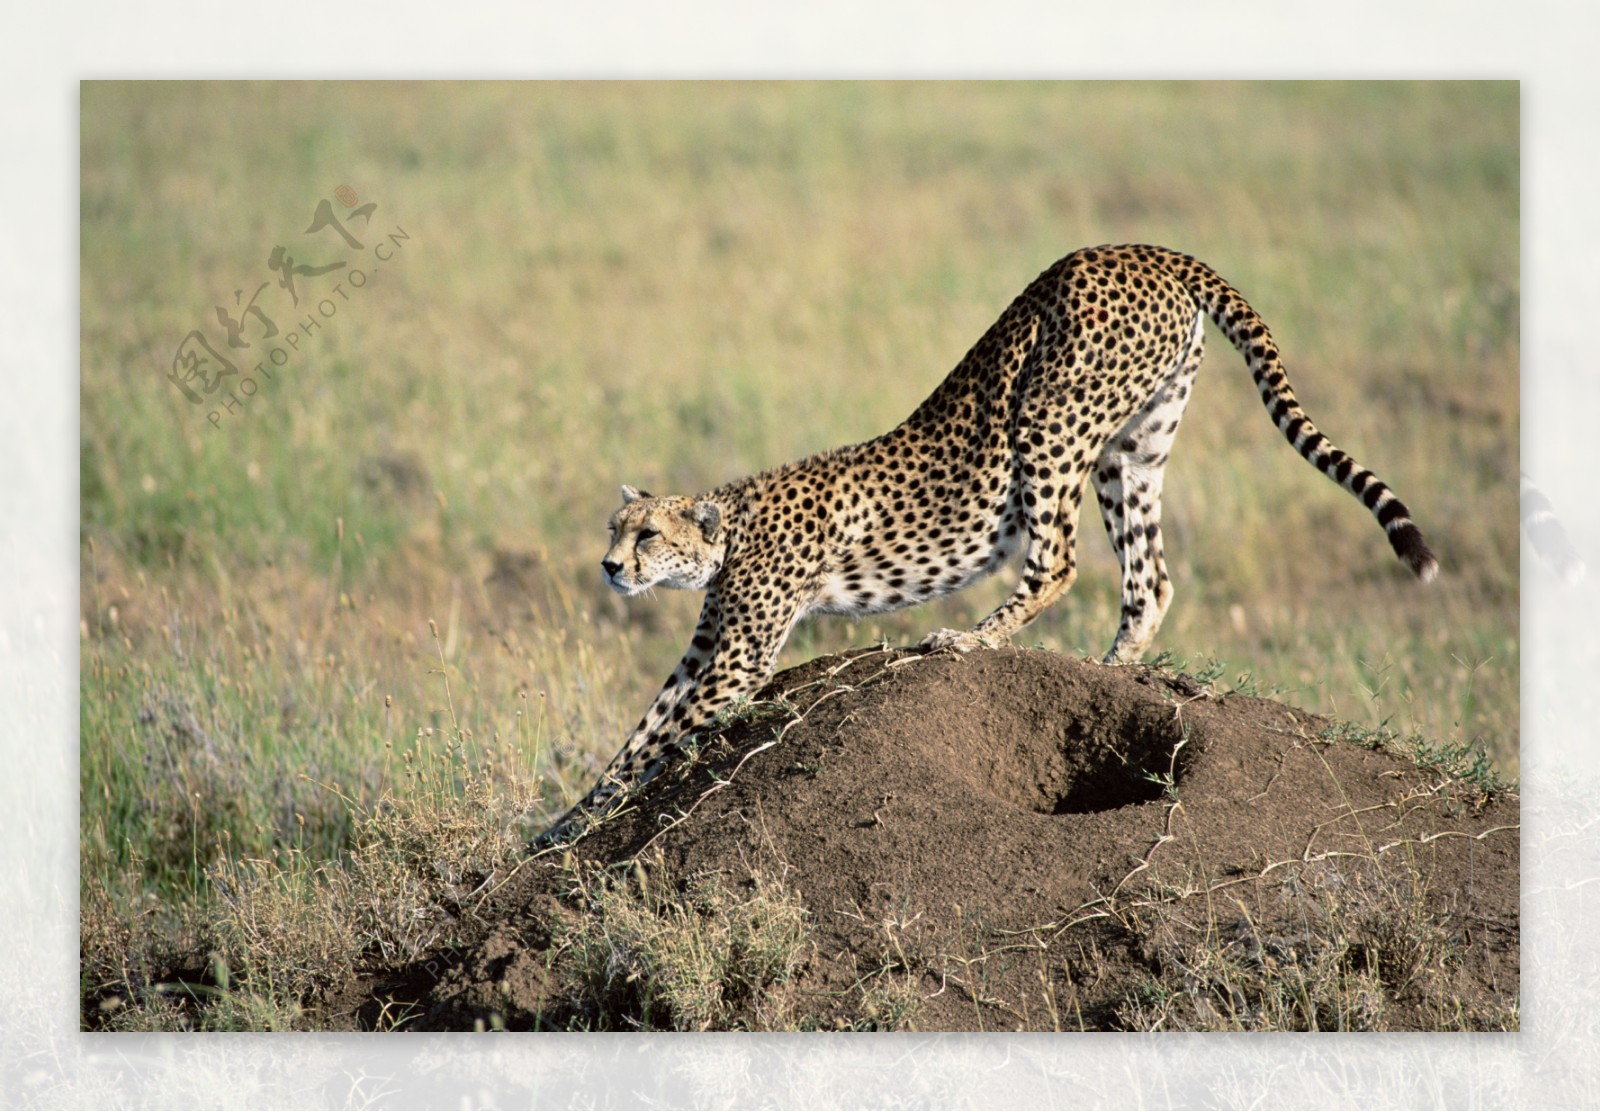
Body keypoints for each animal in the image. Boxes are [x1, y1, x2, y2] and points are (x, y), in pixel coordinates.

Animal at [531, 243, 1433, 851]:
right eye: (614, 530)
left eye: (647, 534)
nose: (609, 568)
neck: (732, 528)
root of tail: (1141, 248)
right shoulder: (708, 647)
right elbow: (639, 733)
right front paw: (560, 826)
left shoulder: (740, 657)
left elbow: (664, 738)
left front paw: (591, 822)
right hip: (1134, 447)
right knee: (1152, 577)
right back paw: (1113, 668)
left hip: (1047, 416)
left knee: (1059, 562)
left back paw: (971, 639)